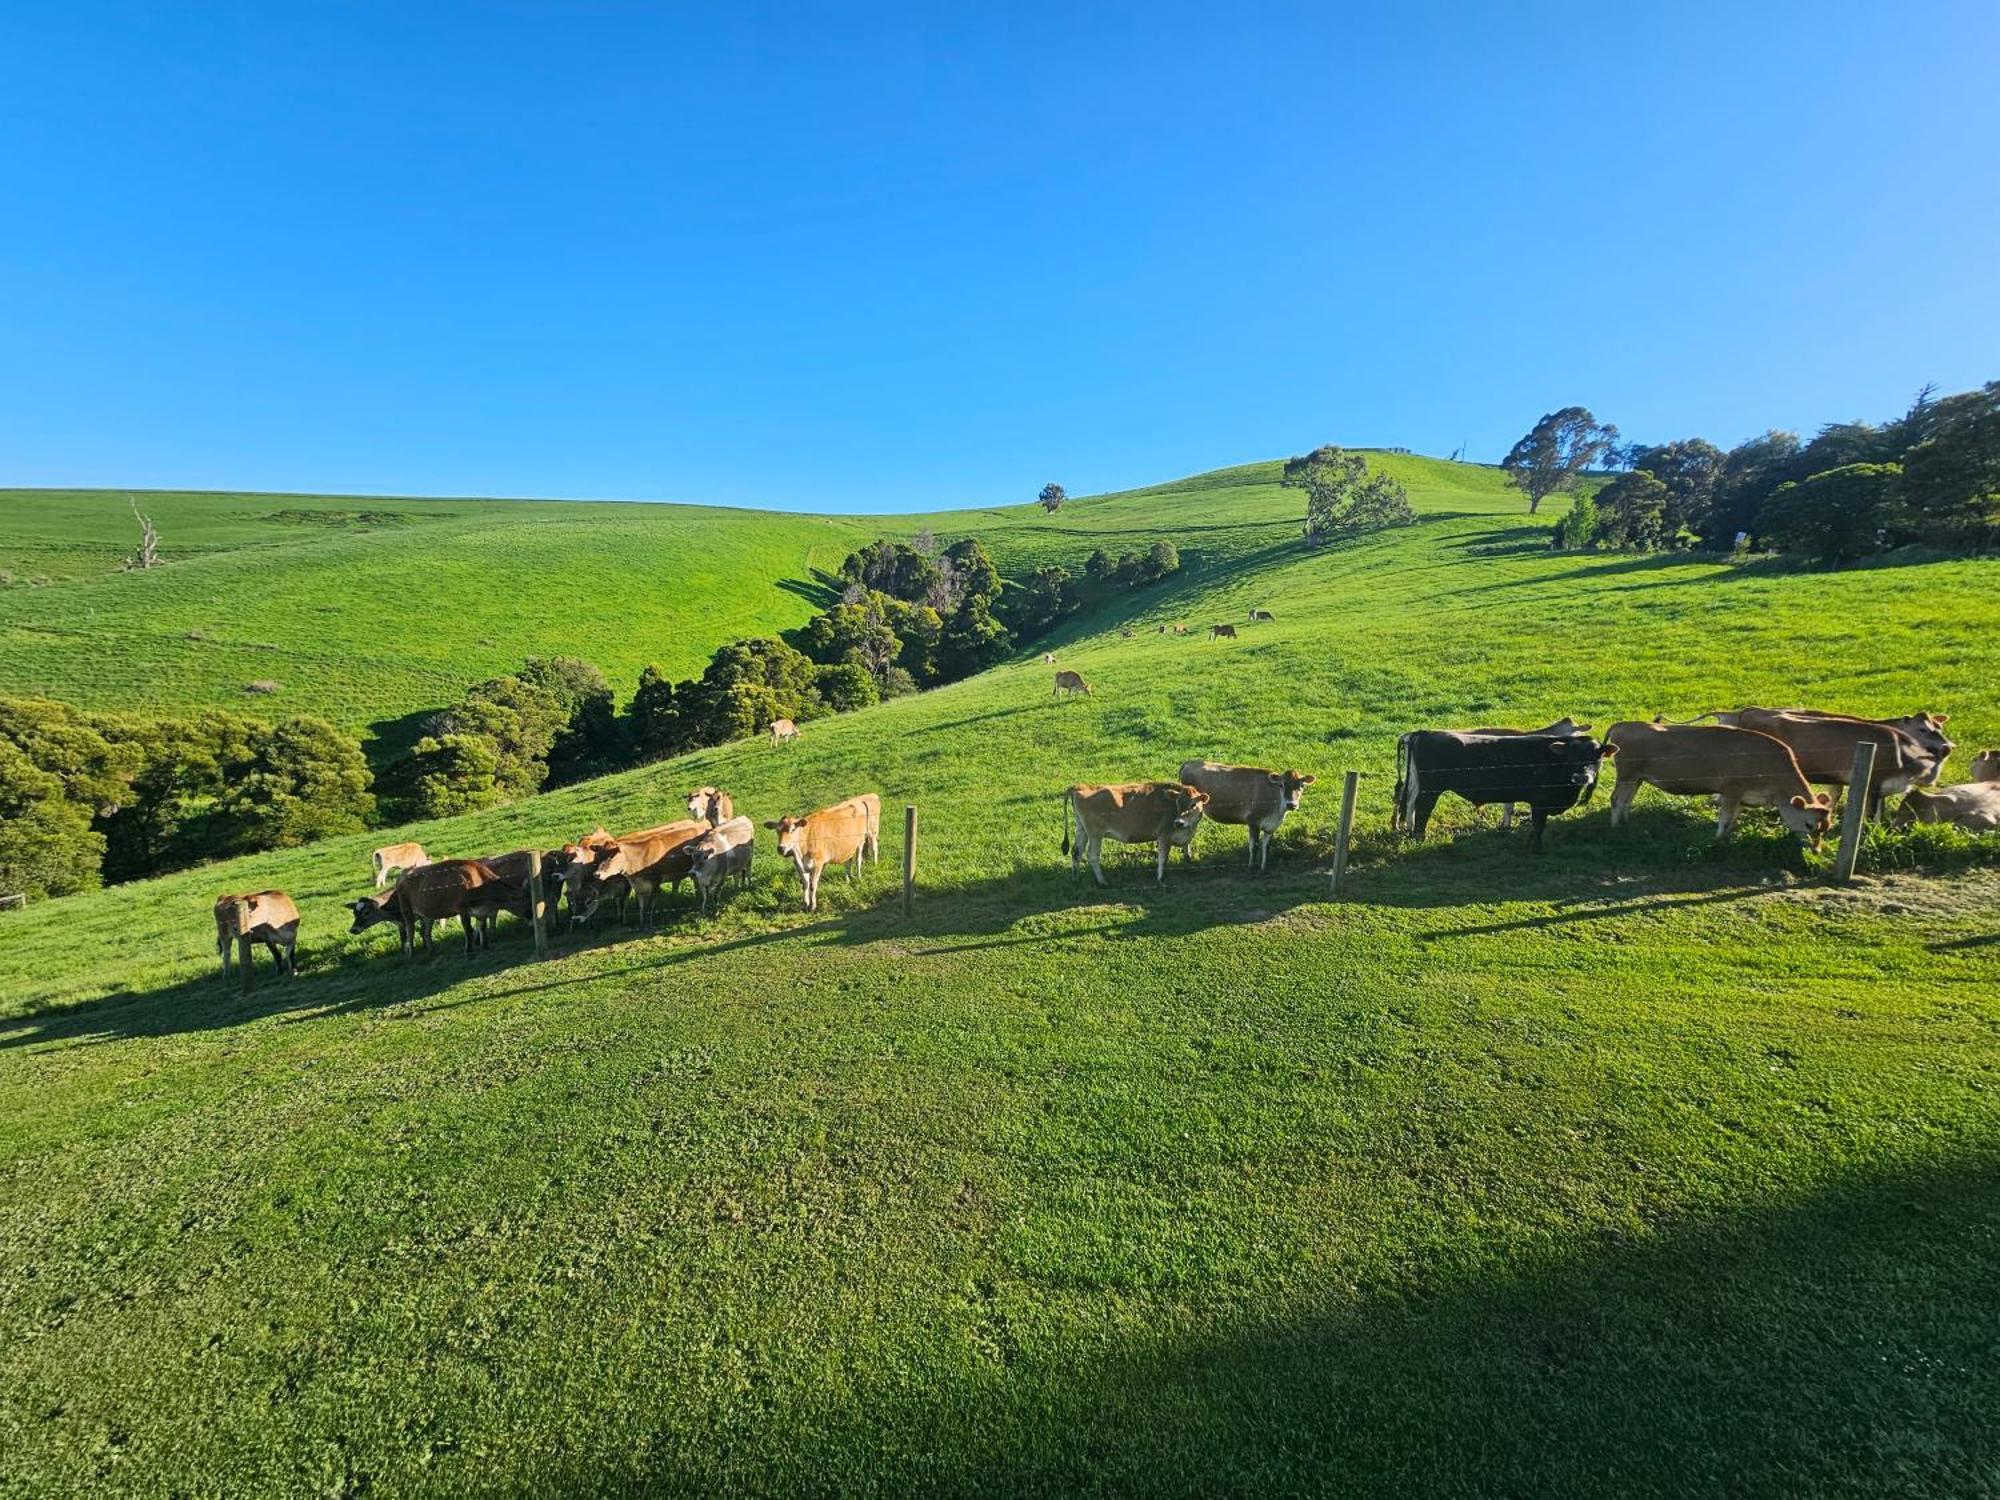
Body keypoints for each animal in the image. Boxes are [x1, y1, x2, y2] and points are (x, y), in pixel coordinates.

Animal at [1064, 780, 1200, 888]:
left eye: (1193, 804)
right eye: (1177, 803)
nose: (1179, 823)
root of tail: (1080, 786)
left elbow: (1186, 852)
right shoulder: (1164, 835)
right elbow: (1163, 858)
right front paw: (1160, 878)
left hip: (1082, 830)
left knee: (1076, 852)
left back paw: (1075, 878)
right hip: (1095, 834)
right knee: (1092, 855)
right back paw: (1103, 882)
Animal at [1176, 764, 1320, 868]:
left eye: (1302, 786)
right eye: (1281, 785)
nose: (1291, 804)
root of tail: (1189, 763)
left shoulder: (1271, 827)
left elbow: (1266, 847)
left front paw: (1263, 867)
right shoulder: (1253, 821)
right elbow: (1254, 846)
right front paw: (1251, 866)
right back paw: (1188, 858)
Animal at [1400, 732, 1616, 852]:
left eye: (1597, 756)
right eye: (1571, 756)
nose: (1582, 777)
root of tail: (1425, 732)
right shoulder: (1539, 802)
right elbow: (1539, 826)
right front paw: (1537, 848)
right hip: (1431, 790)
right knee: (1422, 810)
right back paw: (1420, 838)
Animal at [1600, 724, 1832, 852]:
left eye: (1827, 828)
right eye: (1809, 824)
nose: (1817, 850)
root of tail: (1625, 724)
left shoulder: (1742, 798)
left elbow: (1733, 820)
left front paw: (1726, 840)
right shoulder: (1731, 790)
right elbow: (1726, 819)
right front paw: (1718, 840)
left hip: (1636, 778)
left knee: (1627, 800)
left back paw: (1625, 823)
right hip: (1627, 775)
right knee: (1617, 799)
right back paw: (1615, 828)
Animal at [1728, 708, 1944, 816]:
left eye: (1939, 727)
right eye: (1923, 729)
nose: (1947, 746)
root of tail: (1750, 710)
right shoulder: (1872, 782)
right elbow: (1869, 812)